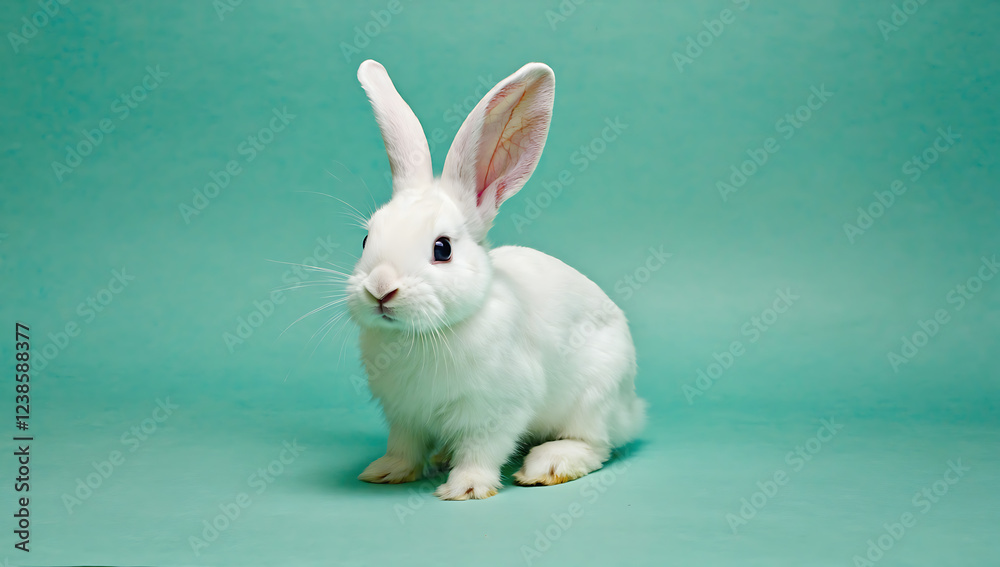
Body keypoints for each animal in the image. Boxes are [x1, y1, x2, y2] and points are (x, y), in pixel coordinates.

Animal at [347, 59, 646, 500]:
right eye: (366, 239)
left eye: (442, 249)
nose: (380, 289)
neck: (425, 334)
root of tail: (631, 409)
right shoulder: (403, 415)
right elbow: (404, 446)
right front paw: (385, 472)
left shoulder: (497, 410)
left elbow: (481, 449)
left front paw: (465, 488)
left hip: (594, 395)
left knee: (595, 444)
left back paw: (549, 464)